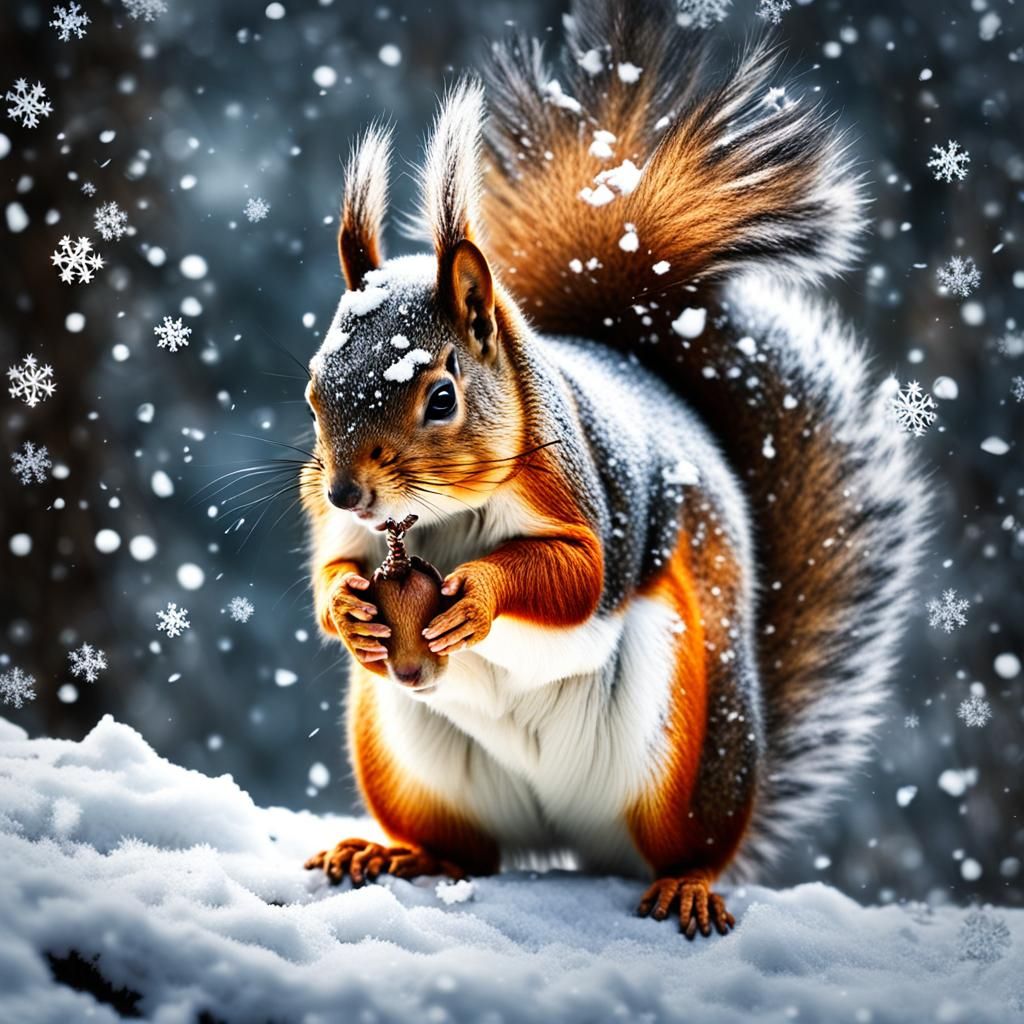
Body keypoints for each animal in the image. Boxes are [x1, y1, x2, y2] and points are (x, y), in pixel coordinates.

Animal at [302, 0, 927, 939]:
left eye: (441, 396)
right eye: (312, 388)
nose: (346, 490)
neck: (441, 522)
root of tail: (561, 836)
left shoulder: (587, 494)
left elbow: (577, 576)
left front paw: (478, 596)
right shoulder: (345, 532)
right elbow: (329, 572)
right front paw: (349, 606)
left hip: (690, 747)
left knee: (688, 844)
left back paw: (687, 884)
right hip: (409, 755)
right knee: (465, 853)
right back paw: (397, 854)